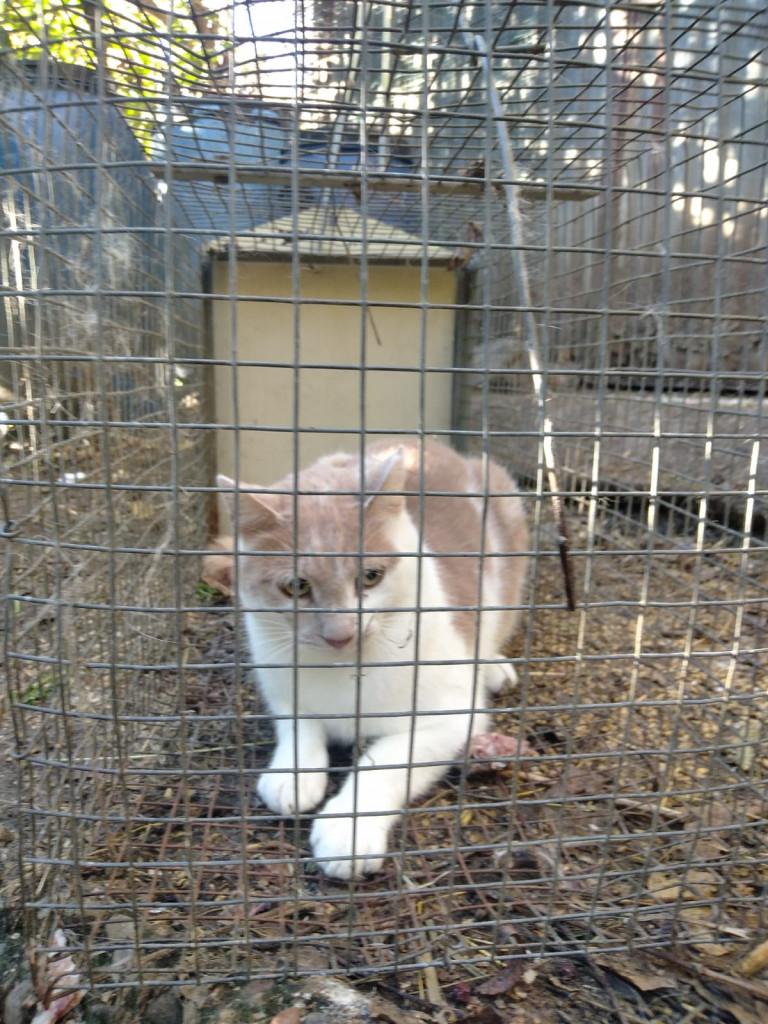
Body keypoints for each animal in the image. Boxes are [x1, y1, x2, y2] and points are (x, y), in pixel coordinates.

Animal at [210, 440, 528, 880]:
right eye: (296, 586)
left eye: (371, 577)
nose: (340, 634)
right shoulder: (281, 685)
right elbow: (299, 725)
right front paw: (291, 775)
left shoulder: (451, 716)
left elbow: (384, 763)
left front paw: (348, 829)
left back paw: (494, 665)